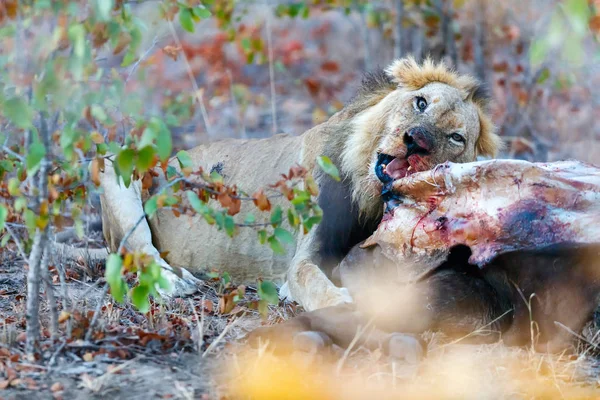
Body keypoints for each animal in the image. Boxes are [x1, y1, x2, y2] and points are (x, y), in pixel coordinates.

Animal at [99, 57, 502, 312]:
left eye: (455, 137)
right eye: (420, 103)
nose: (416, 139)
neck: (371, 197)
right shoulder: (305, 255)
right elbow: (308, 278)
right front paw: (339, 304)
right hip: (112, 165)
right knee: (139, 251)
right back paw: (176, 283)